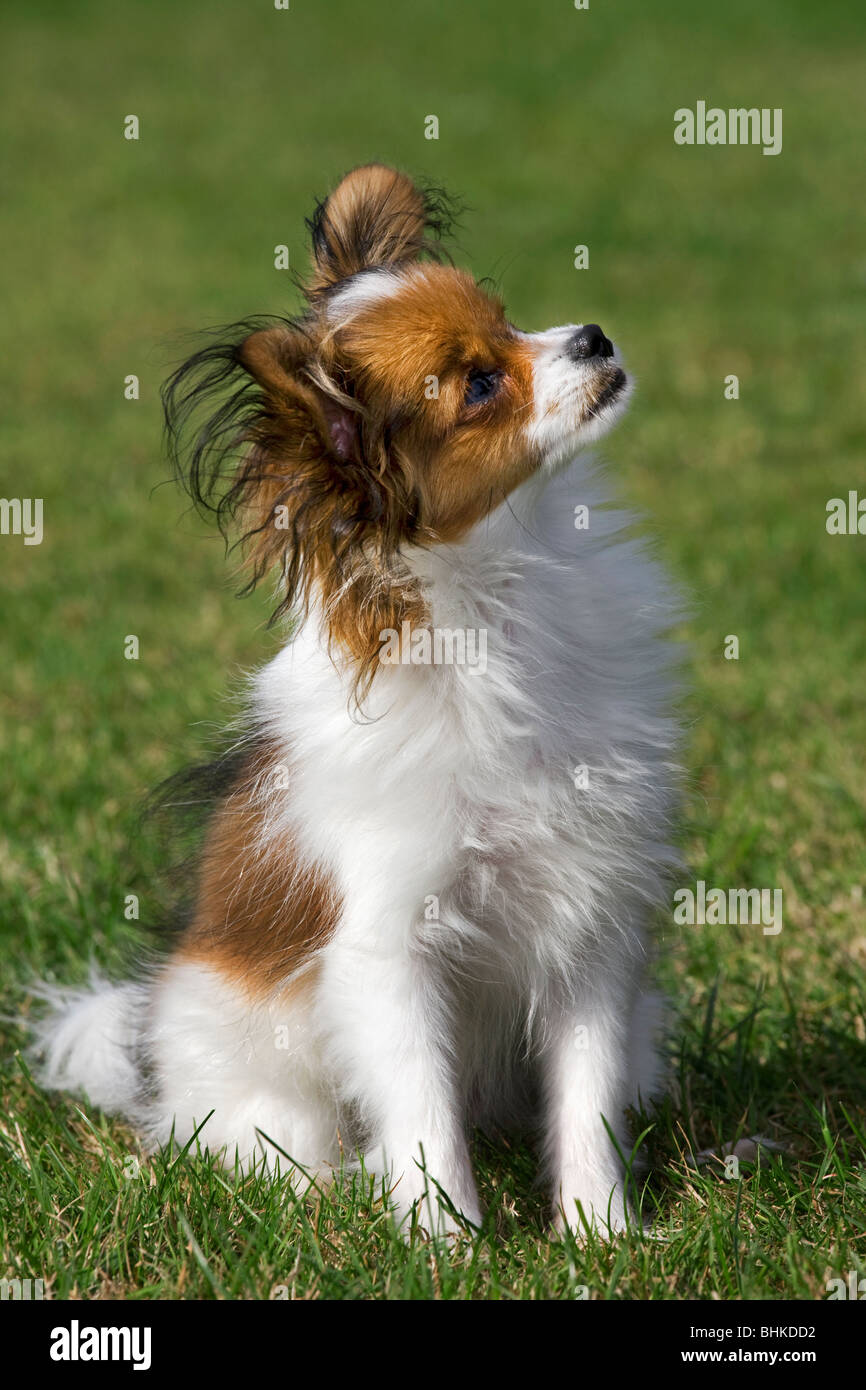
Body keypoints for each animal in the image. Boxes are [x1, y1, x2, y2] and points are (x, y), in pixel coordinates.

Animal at [35, 165, 683, 1239]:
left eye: (511, 322)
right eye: (478, 384)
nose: (592, 336)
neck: (510, 592)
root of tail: (150, 1053)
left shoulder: (583, 922)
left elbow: (584, 1099)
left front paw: (601, 1234)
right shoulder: (388, 947)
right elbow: (422, 1114)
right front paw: (448, 1242)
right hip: (266, 1094)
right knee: (271, 1149)